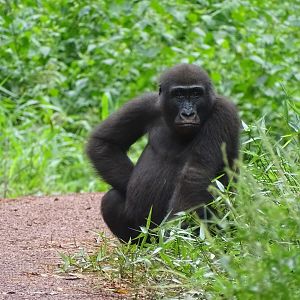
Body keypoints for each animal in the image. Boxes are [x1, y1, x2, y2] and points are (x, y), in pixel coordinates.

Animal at [86, 64, 239, 243]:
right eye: (178, 95)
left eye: (196, 94)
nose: (188, 114)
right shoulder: (145, 104)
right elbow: (105, 142)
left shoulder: (223, 112)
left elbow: (195, 175)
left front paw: (176, 236)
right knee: (111, 199)